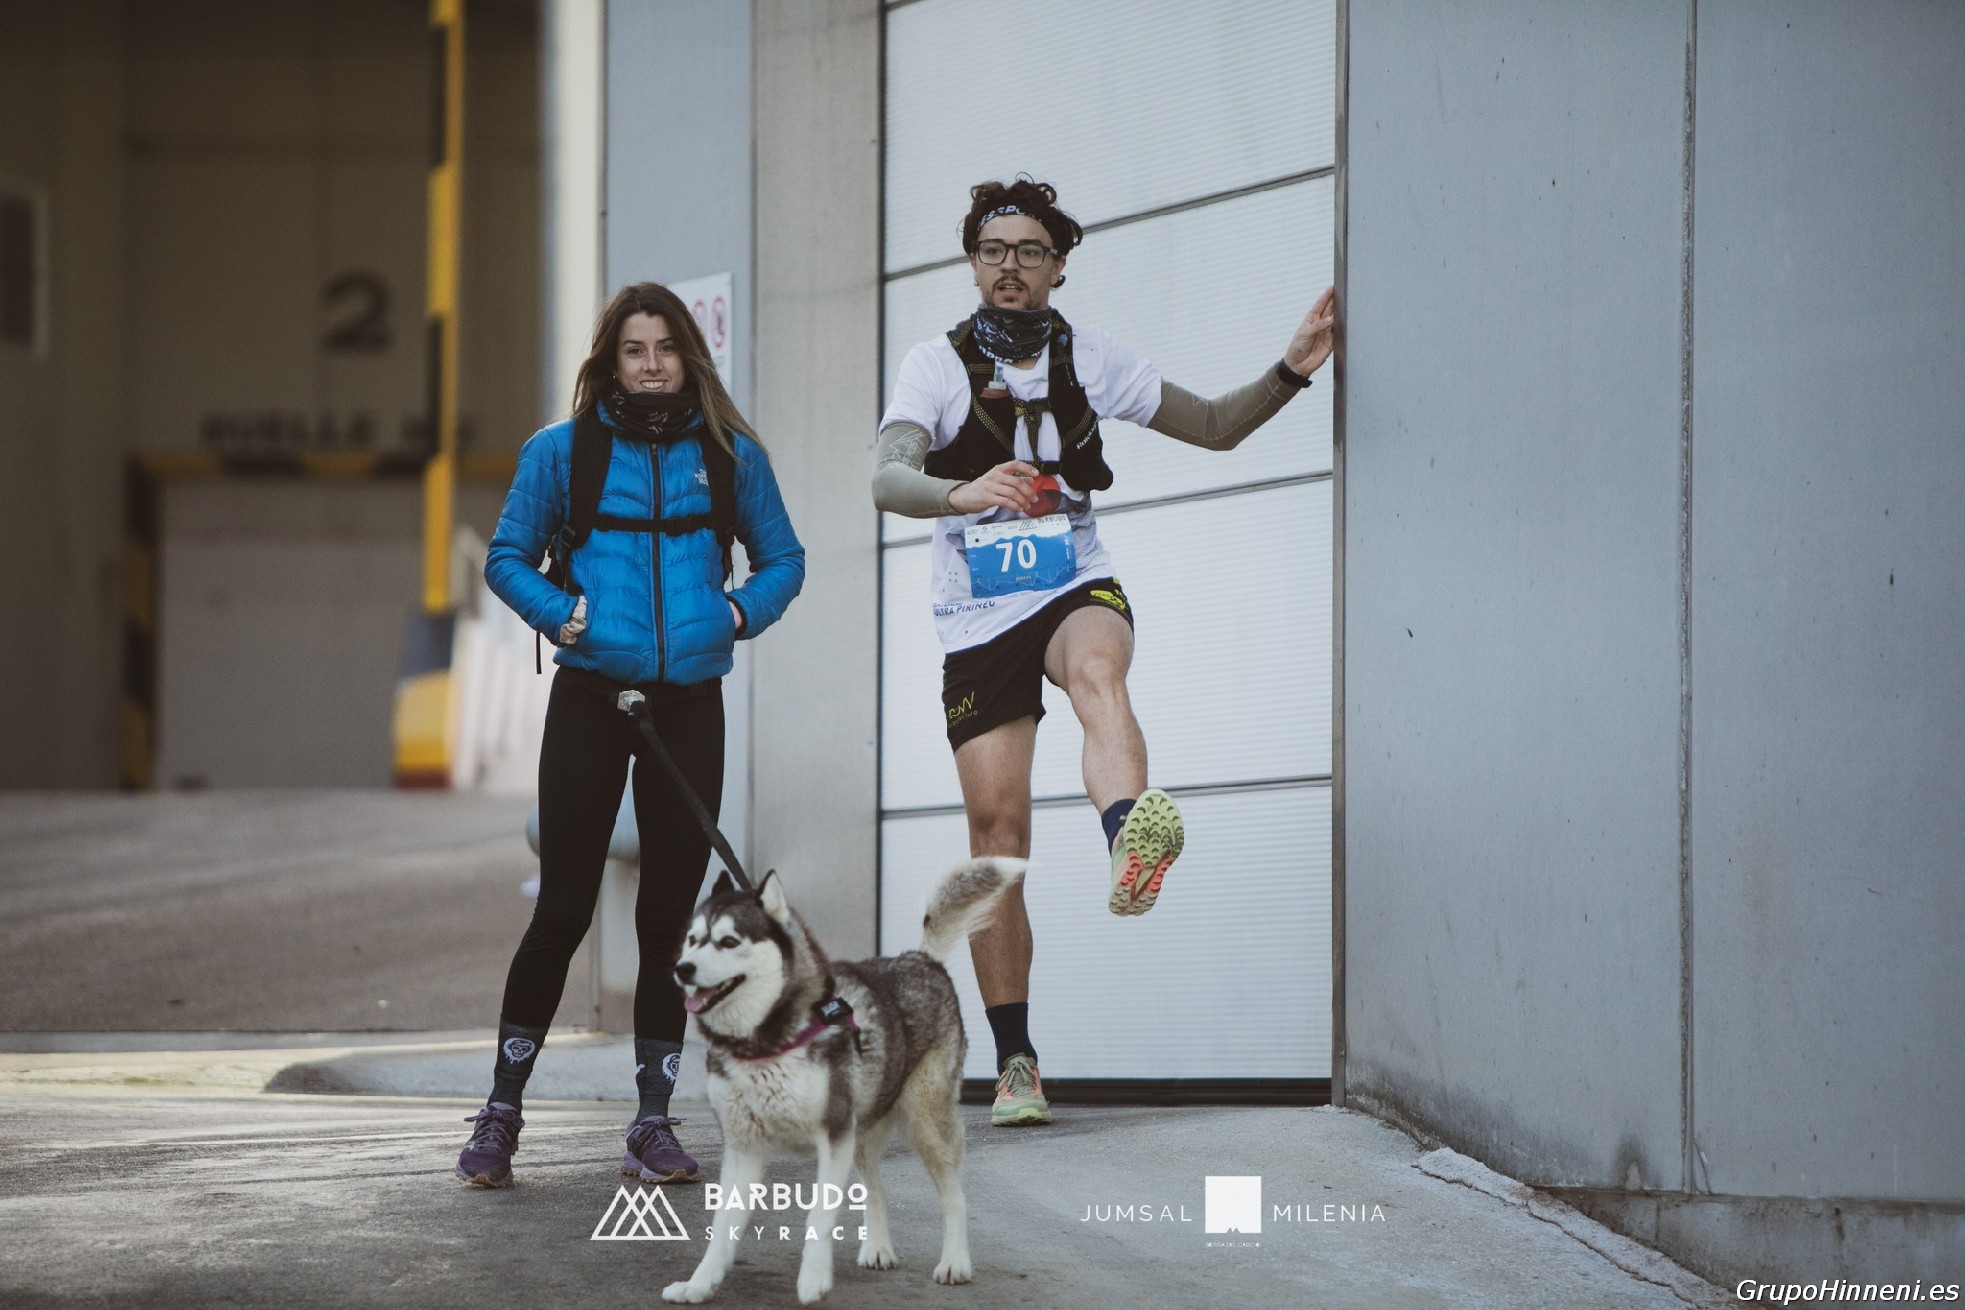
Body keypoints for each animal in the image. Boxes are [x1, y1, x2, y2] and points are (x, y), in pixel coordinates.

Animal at [660, 857, 1021, 1305]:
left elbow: (819, 1214)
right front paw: (699, 1284)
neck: (767, 1044)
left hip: (925, 1120)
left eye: (728, 941)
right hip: (862, 1127)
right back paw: (879, 1247)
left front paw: (813, 1279)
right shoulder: (743, 1148)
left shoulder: (832, 1136)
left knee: (952, 1193)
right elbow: (722, 1228)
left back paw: (955, 1261)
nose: (683, 969)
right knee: (876, 1187)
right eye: (692, 941)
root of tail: (919, 959)